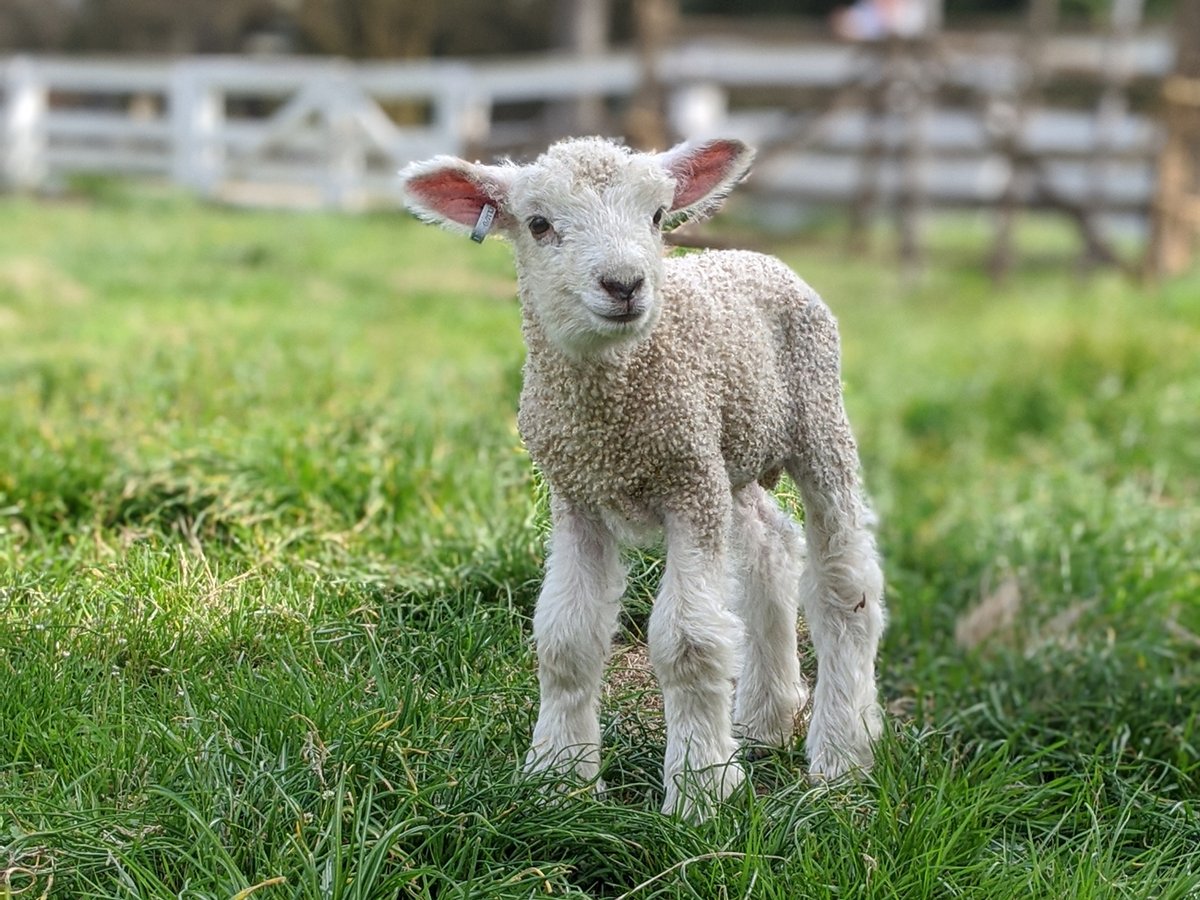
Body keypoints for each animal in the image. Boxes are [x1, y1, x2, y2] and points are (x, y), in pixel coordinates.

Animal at [399, 136, 885, 819]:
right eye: (539, 224)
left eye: (657, 216)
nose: (625, 284)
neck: (616, 405)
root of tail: (751, 257)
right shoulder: (578, 493)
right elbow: (566, 639)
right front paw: (557, 778)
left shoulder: (688, 483)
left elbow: (688, 643)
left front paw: (701, 791)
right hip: (729, 454)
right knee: (771, 549)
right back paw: (763, 721)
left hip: (816, 419)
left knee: (846, 585)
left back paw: (842, 752)